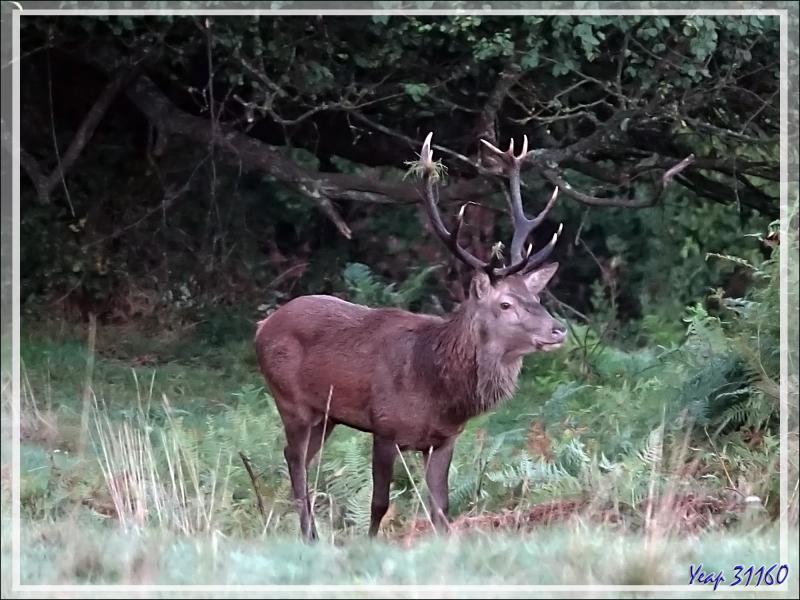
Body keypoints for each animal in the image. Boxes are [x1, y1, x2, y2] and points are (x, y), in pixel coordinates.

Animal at [254, 132, 567, 541]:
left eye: (537, 298)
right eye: (505, 304)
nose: (558, 329)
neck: (435, 388)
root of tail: (262, 327)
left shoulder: (444, 439)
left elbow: (441, 507)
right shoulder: (384, 427)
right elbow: (379, 503)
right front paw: (370, 543)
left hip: (326, 415)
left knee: (301, 459)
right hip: (291, 401)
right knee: (294, 457)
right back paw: (310, 535)